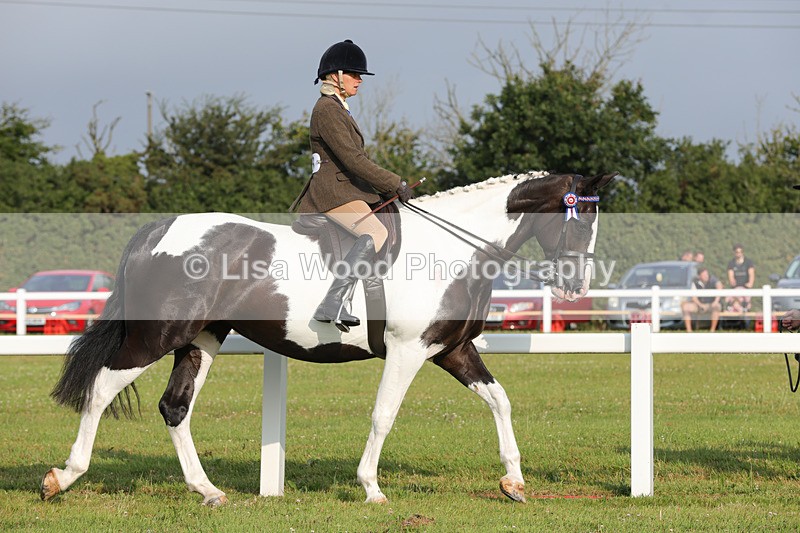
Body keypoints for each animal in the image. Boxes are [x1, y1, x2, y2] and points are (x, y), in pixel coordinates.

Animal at [40, 170, 616, 506]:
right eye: (580, 218)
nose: (576, 285)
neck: (454, 248)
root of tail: (160, 230)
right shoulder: (407, 351)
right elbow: (384, 415)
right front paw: (372, 488)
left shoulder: (451, 350)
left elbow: (500, 400)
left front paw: (513, 481)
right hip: (157, 335)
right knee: (101, 389)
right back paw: (63, 478)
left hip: (200, 339)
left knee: (175, 407)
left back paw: (207, 491)